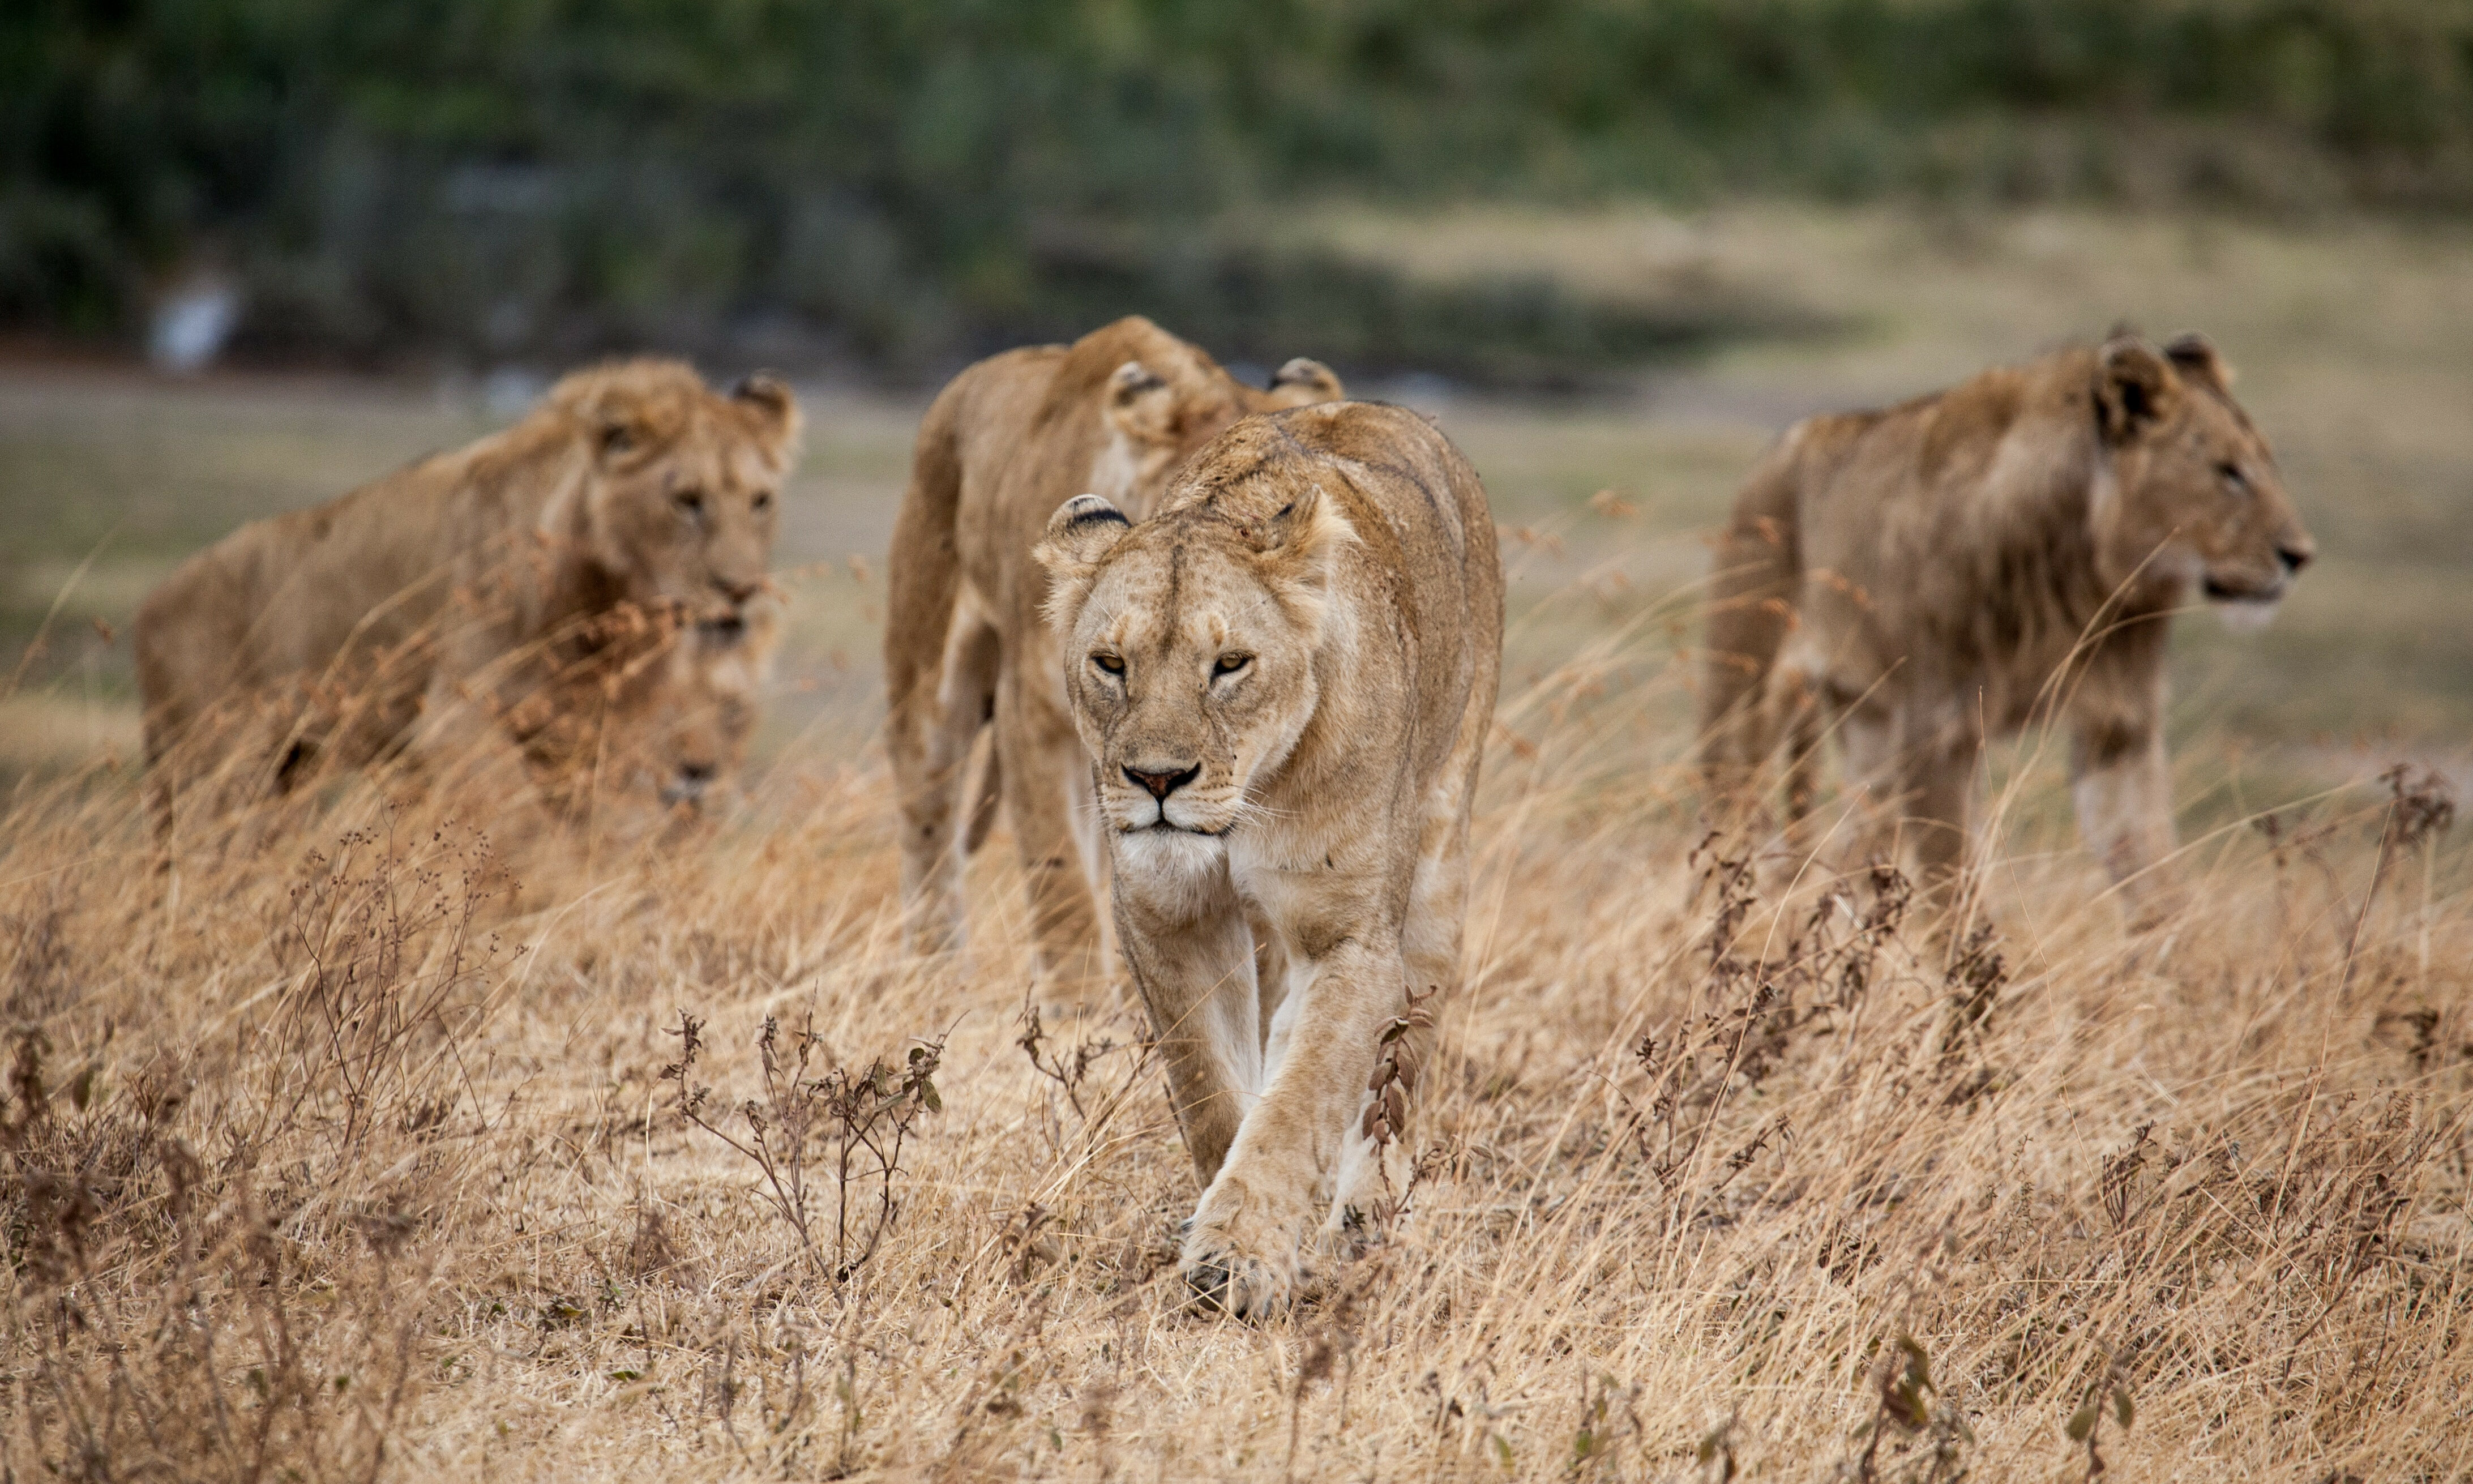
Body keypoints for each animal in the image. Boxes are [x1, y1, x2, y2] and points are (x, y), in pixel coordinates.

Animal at [135, 353, 796, 831]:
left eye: (761, 501)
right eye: (687, 500)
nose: (741, 589)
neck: (601, 607)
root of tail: (153, 601)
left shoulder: (590, 738)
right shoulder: (459, 726)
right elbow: (514, 841)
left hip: (288, 767)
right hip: (214, 767)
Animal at [890, 314, 1345, 999]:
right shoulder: (1035, 719)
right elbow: (1061, 887)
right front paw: (1076, 1013)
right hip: (927, 685)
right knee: (930, 830)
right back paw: (934, 979)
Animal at [1033, 400, 1494, 1315]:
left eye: (1230, 665)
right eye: (1111, 664)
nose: (1158, 780)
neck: (1247, 804)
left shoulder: (1352, 939)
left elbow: (1302, 1100)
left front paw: (1237, 1260)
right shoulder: (1167, 915)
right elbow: (1211, 1087)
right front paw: (1223, 1218)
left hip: (1438, 868)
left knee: (1399, 1071)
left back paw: (1365, 1218)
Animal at [1711, 333, 2304, 915]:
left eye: (2268, 466)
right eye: (2228, 472)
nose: (2301, 555)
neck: (2085, 576)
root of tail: (1783, 445)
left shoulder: (2120, 725)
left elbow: (2154, 880)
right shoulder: (1939, 730)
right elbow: (1954, 900)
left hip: (1869, 726)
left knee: (1851, 856)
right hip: (1747, 699)